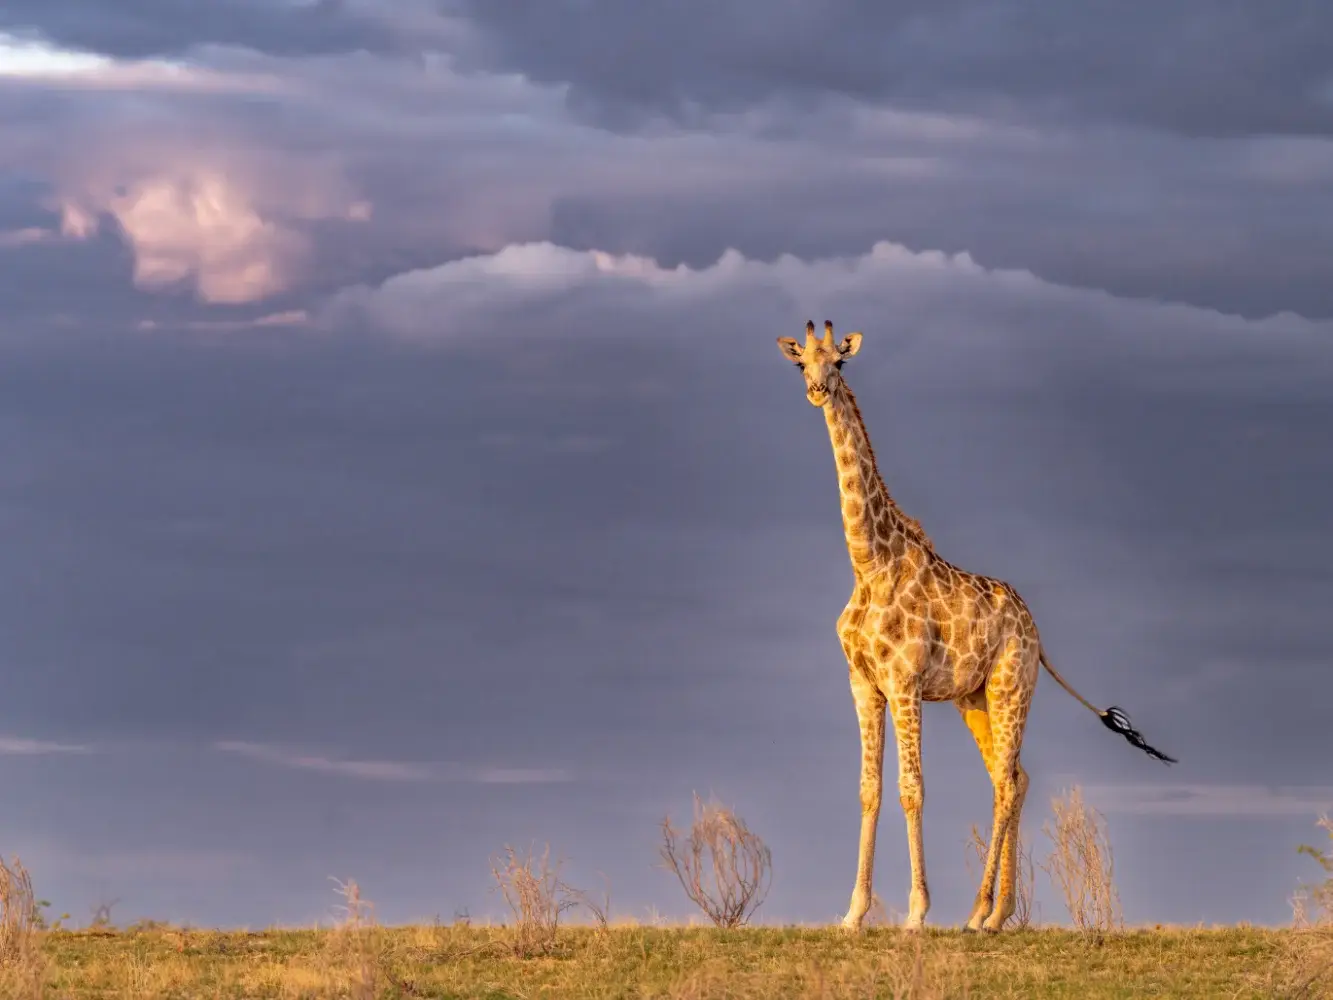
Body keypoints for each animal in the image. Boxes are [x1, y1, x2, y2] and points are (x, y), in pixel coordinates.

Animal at [776, 320, 1175, 934]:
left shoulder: (906, 682)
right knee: (1013, 777)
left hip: (1012, 686)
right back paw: (994, 912)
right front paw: (853, 913)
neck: (868, 562)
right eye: (802, 363)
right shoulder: (864, 684)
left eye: (839, 363)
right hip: (975, 697)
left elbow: (911, 789)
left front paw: (916, 913)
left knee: (1007, 782)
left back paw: (978, 915)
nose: (817, 390)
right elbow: (868, 790)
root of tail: (1037, 632)